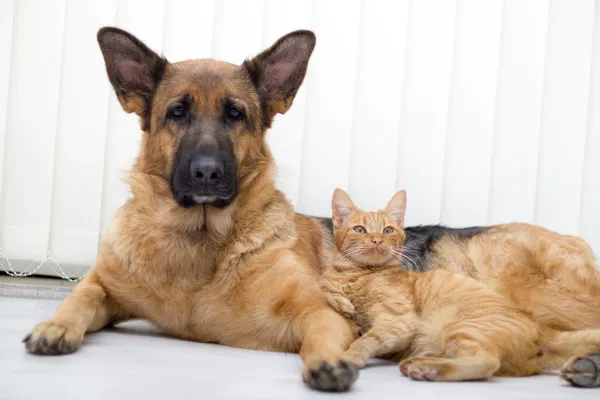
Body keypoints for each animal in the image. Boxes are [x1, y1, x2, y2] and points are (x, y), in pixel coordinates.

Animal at [22, 26, 360, 392]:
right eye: (178, 112)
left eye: (234, 114)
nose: (207, 172)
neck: (200, 237)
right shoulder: (105, 287)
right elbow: (80, 297)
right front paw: (56, 325)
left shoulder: (319, 310)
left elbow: (321, 332)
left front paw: (328, 359)